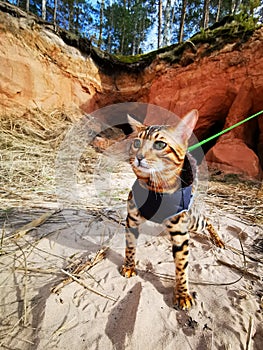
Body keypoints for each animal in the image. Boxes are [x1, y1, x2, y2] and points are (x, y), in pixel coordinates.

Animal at [120, 109, 225, 308]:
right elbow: (130, 248)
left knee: (207, 220)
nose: (139, 157)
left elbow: (181, 267)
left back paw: (218, 240)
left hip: (193, 221)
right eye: (136, 143)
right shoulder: (132, 219)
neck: (155, 189)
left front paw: (182, 294)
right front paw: (129, 266)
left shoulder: (180, 233)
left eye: (160, 144)